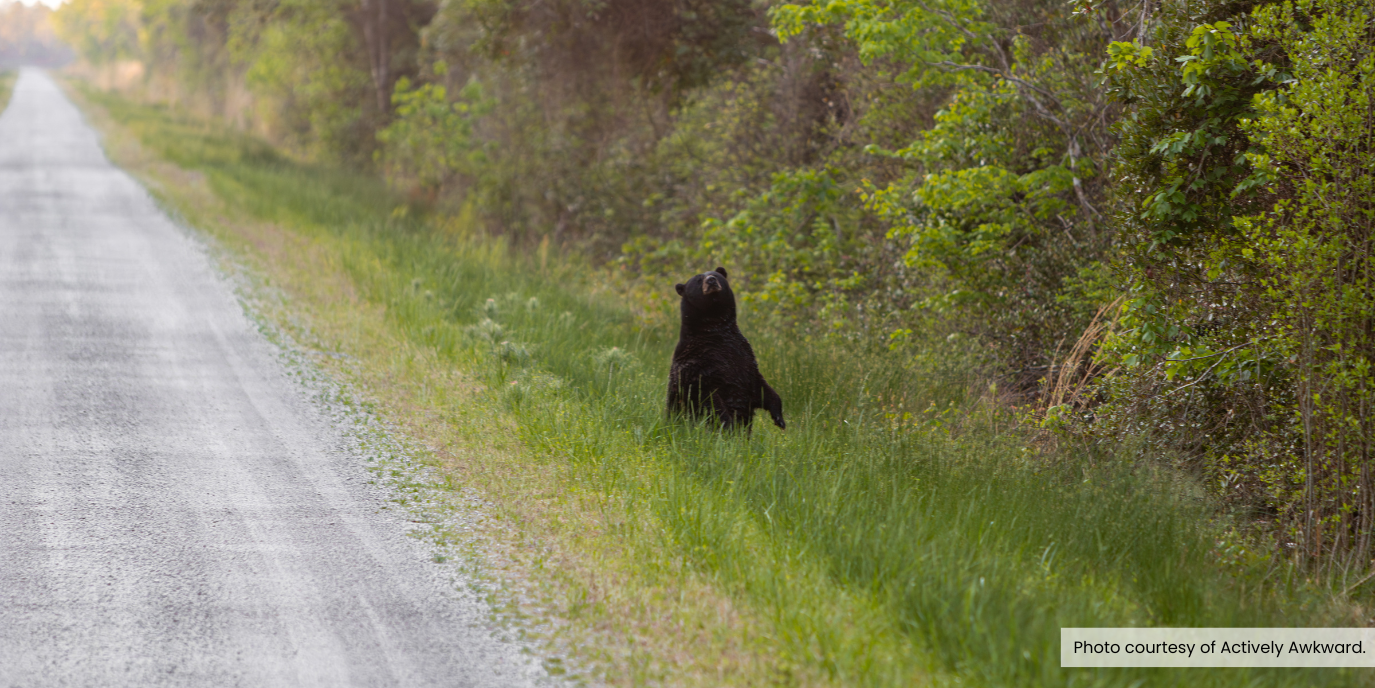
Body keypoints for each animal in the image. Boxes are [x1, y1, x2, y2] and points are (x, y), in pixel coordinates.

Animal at [665, 264, 786, 429]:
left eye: (716, 275)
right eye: (698, 280)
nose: (711, 280)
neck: (715, 327)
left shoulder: (744, 356)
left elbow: (761, 386)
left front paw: (779, 419)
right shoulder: (698, 365)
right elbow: (708, 400)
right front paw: (727, 424)